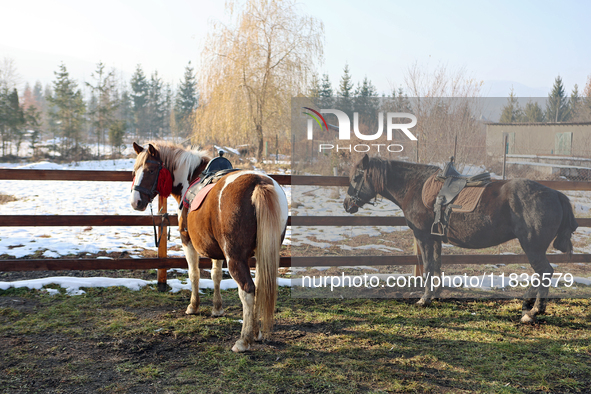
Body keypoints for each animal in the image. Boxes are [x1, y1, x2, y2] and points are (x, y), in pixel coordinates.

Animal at [131, 142, 288, 350]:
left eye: (149, 170)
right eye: (134, 171)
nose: (136, 202)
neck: (191, 177)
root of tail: (259, 183)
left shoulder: (187, 241)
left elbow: (194, 274)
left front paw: (193, 306)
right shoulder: (217, 250)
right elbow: (216, 276)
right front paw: (217, 308)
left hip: (235, 258)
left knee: (247, 290)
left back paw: (244, 340)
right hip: (263, 253)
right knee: (260, 287)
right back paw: (256, 332)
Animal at [342, 154, 580, 324]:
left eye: (356, 177)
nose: (346, 204)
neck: (415, 186)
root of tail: (556, 194)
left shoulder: (423, 237)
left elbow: (428, 266)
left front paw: (424, 298)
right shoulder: (435, 238)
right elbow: (436, 265)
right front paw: (436, 294)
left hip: (532, 247)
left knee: (545, 272)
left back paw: (532, 311)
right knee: (542, 273)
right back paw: (529, 305)